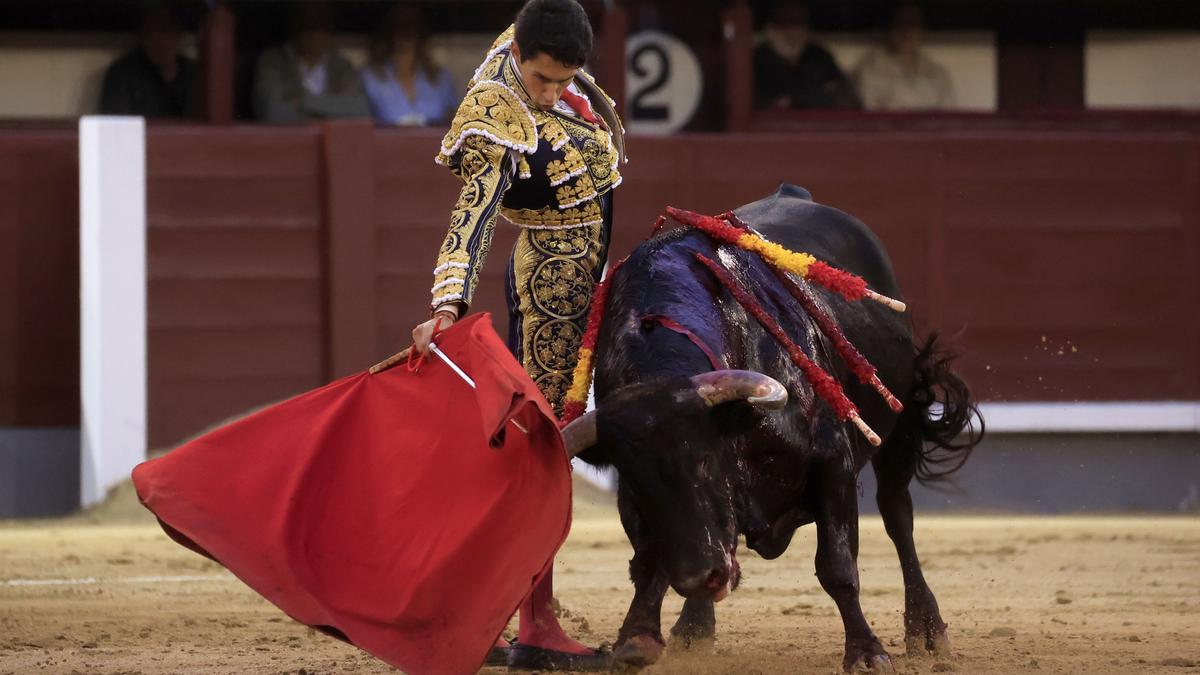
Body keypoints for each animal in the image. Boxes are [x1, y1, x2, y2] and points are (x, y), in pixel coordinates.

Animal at [566, 182, 979, 667]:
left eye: (706, 460)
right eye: (634, 480)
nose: (699, 576)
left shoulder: (833, 464)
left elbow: (837, 568)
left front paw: (866, 653)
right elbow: (649, 560)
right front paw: (637, 638)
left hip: (902, 423)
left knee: (898, 515)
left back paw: (927, 631)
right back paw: (694, 628)